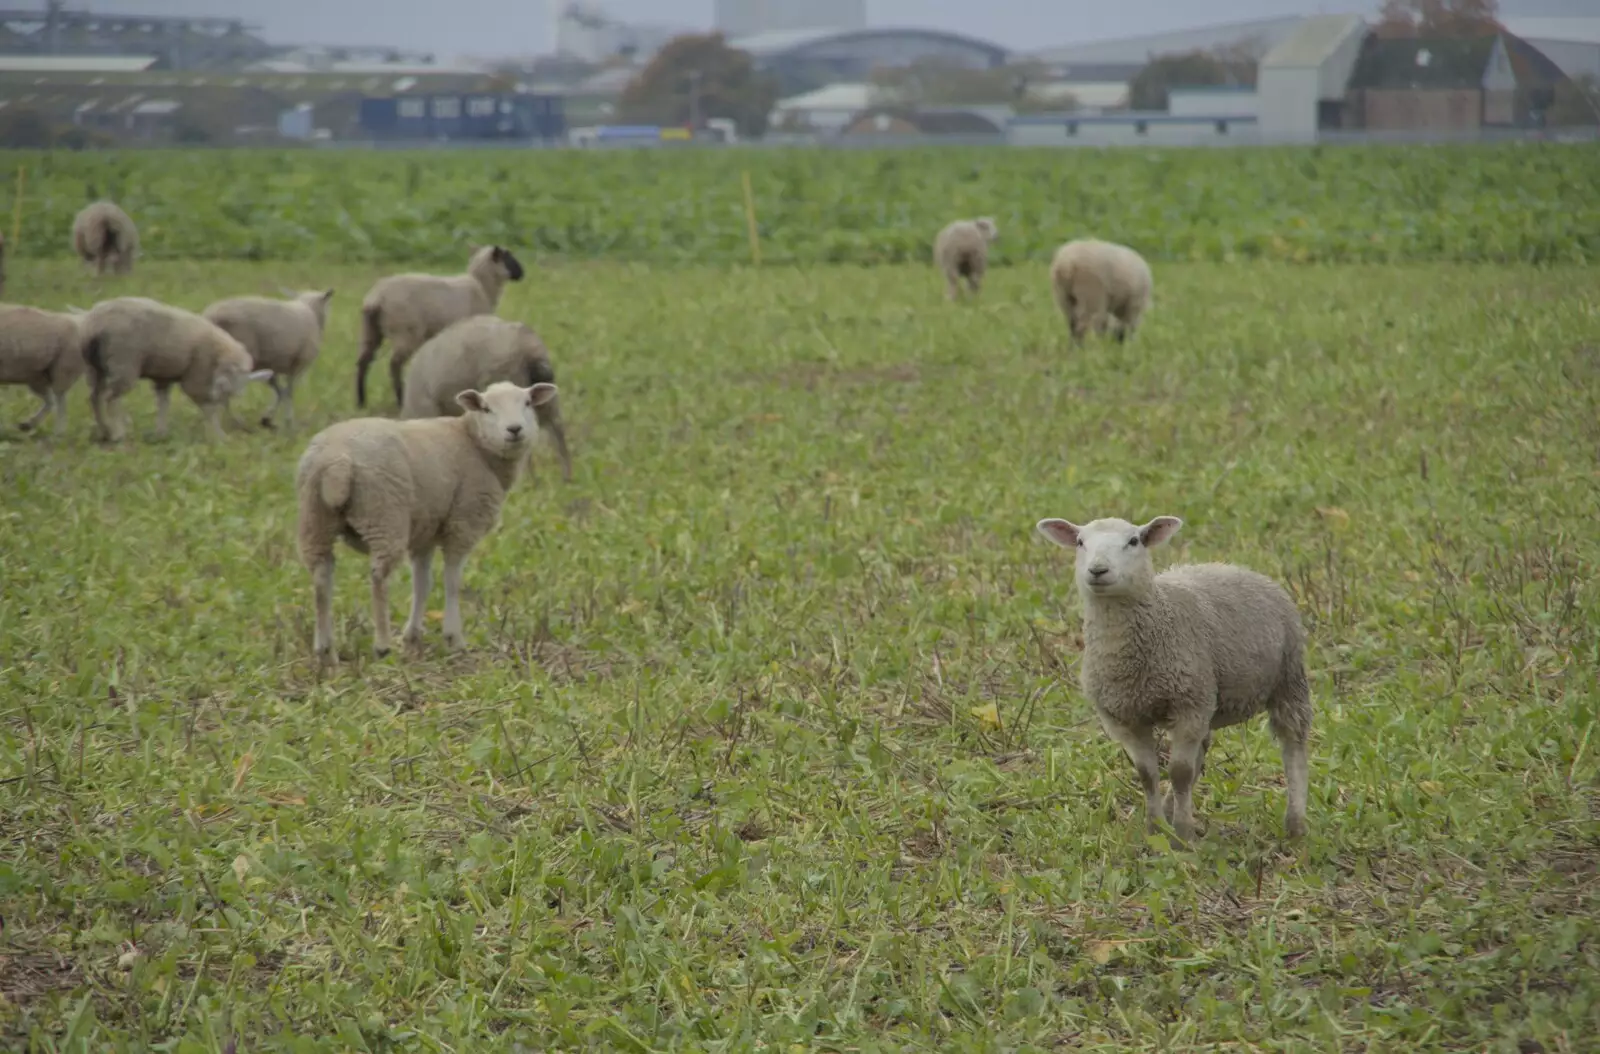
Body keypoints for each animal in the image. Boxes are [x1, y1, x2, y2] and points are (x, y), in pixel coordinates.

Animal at [203, 286, 334, 431]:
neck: (310, 311)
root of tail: (212, 315)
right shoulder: (297, 365)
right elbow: (288, 393)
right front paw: (287, 422)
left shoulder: (272, 366)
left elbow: (279, 391)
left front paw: (268, 420)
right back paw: (237, 422)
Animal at [294, 379, 563, 658]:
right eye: (486, 408)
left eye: (528, 403)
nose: (514, 429)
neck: (475, 443)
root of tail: (336, 461)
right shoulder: (463, 522)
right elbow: (452, 581)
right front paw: (454, 638)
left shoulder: (426, 530)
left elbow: (422, 583)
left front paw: (412, 638)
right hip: (384, 513)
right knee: (379, 577)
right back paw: (382, 644)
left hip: (315, 516)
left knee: (321, 577)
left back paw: (324, 650)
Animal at [355, 247, 524, 412]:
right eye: (508, 257)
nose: (522, 273)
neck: (482, 287)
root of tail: (376, 297)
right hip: (405, 332)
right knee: (394, 364)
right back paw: (399, 398)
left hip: (370, 331)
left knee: (363, 361)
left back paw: (361, 402)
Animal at [1036, 515, 1312, 844]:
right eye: (1080, 542)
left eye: (1134, 541)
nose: (1098, 570)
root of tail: (1235, 567)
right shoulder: (1125, 717)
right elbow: (1148, 774)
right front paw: (1155, 829)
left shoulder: (1188, 705)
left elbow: (1180, 773)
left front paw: (1182, 835)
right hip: (1211, 698)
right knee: (1201, 752)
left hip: (1287, 678)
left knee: (1293, 745)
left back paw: (1295, 823)